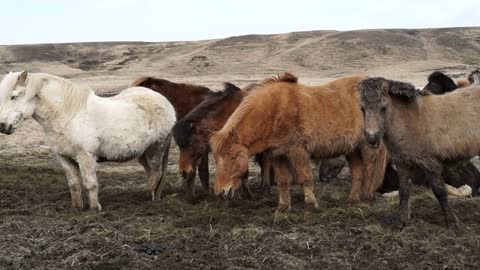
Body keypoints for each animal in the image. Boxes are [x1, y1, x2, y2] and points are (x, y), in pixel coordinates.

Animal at [0, 71, 176, 211]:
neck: (68, 115)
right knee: (151, 172)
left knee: (156, 172)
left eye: (14, 97)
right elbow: (74, 184)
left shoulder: (86, 157)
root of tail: (165, 102)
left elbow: (90, 183)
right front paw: (78, 208)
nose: (3, 126)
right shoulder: (64, 158)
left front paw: (94, 208)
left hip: (157, 147)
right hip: (142, 153)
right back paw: (151, 196)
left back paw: (148, 197)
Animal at [212, 72, 388, 215]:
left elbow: (305, 178)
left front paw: (311, 205)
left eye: (233, 157)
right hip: (352, 149)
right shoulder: (277, 155)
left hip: (367, 146)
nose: (220, 192)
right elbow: (283, 181)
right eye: (216, 158)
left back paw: (366, 198)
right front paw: (283, 208)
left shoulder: (298, 152)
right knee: (357, 172)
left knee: (369, 170)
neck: (274, 112)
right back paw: (352, 200)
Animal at [360, 77, 480, 229]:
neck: (409, 120)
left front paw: (451, 222)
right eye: (362, 109)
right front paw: (401, 221)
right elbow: (404, 191)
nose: (372, 139)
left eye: (384, 108)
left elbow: (439, 192)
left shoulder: (430, 164)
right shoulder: (402, 163)